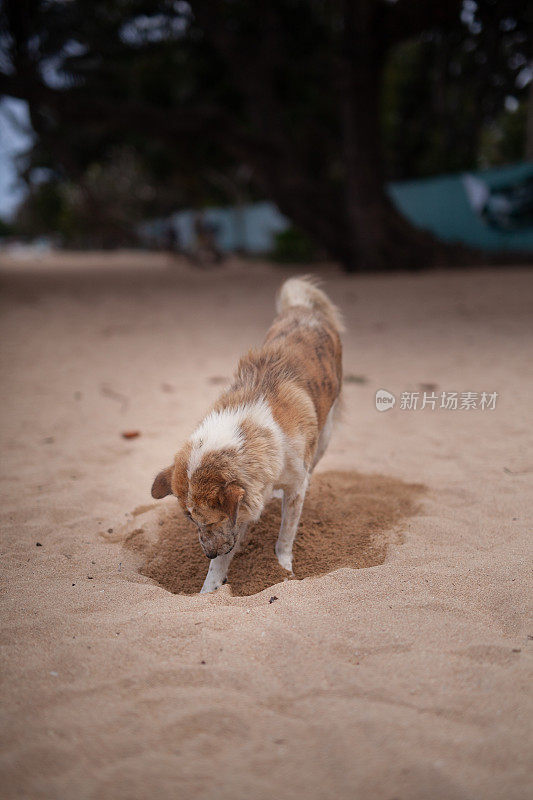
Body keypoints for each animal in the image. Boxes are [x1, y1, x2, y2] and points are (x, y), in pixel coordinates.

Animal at [151, 278, 340, 592]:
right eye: (191, 521)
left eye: (210, 520)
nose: (208, 553)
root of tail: (302, 308)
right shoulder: (241, 505)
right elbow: (224, 557)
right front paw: (209, 589)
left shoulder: (292, 487)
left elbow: (285, 536)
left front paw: (282, 569)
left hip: (325, 435)